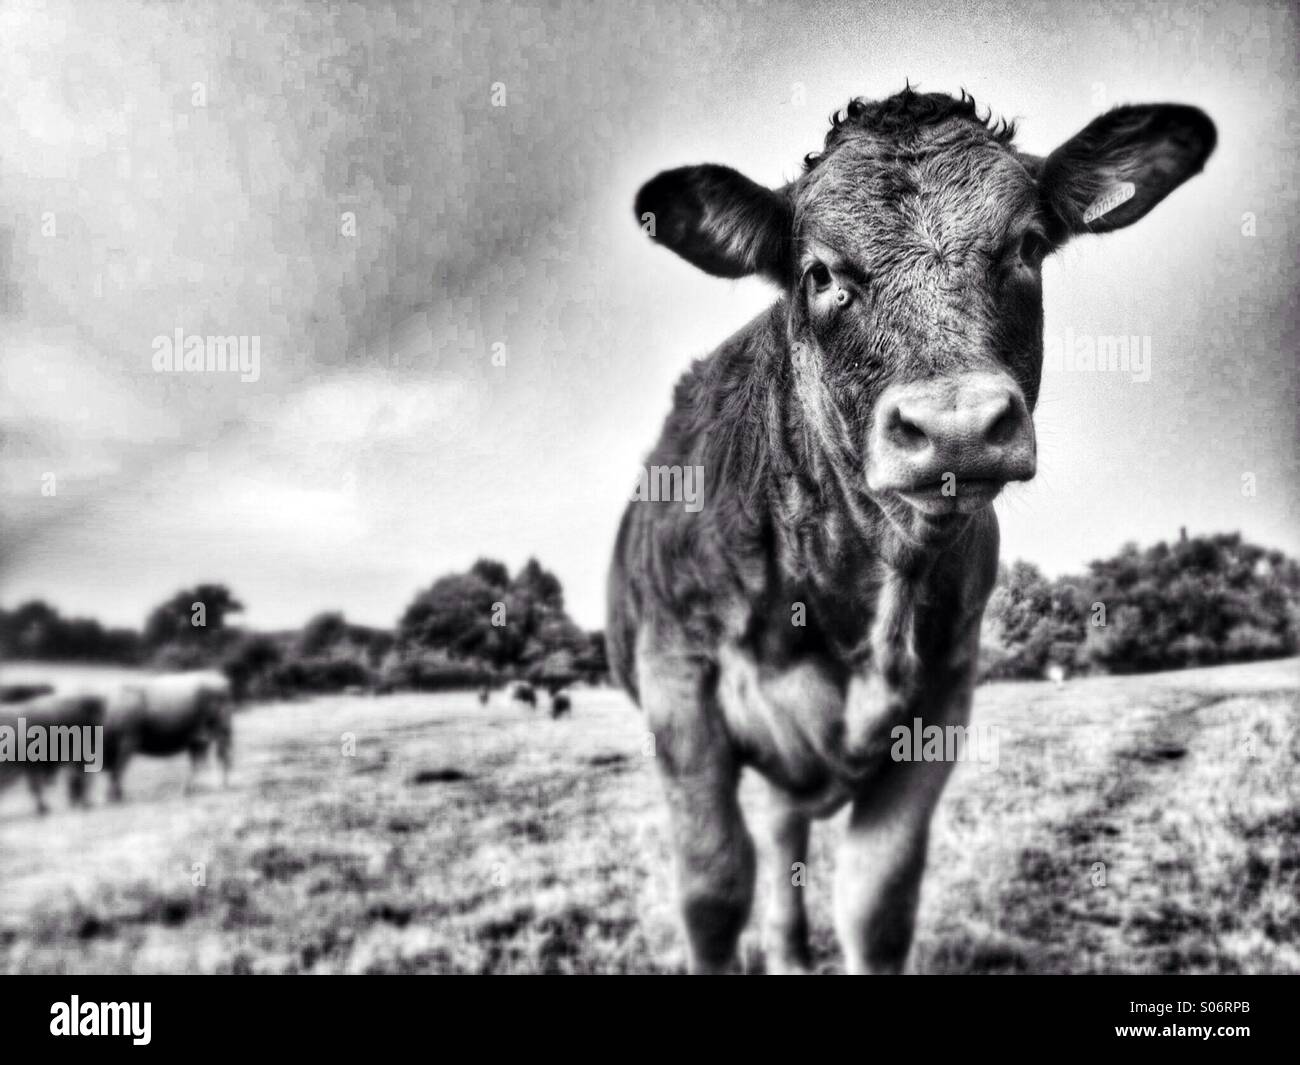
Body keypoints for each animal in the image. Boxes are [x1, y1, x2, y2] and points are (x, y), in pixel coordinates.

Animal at [94, 671, 234, 801]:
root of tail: (216, 678)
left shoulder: (128, 741)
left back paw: (221, 786)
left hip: (221, 732)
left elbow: (118, 769)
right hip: (198, 738)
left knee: (222, 756)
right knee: (199, 762)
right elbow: (116, 770)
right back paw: (190, 789)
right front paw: (116, 795)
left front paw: (114, 796)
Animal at [607, 87, 1215, 974]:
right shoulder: (677, 682)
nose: (955, 425)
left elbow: (877, 901)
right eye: (820, 273)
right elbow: (714, 890)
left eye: (1027, 246)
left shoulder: (942, 697)